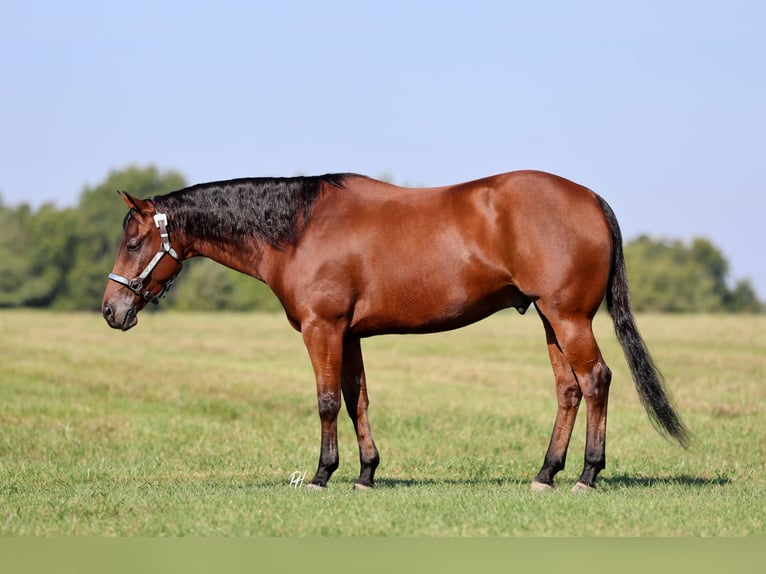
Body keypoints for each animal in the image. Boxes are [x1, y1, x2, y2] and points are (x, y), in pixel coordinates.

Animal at [102, 170, 688, 492]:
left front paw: (322, 475)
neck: (299, 230)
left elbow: (326, 401)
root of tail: (589, 197)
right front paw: (365, 474)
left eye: (132, 243)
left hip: (568, 317)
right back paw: (546, 473)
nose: (111, 310)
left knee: (596, 380)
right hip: (550, 318)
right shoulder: (350, 335)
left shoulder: (322, 329)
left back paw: (588, 475)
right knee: (568, 389)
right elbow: (356, 399)